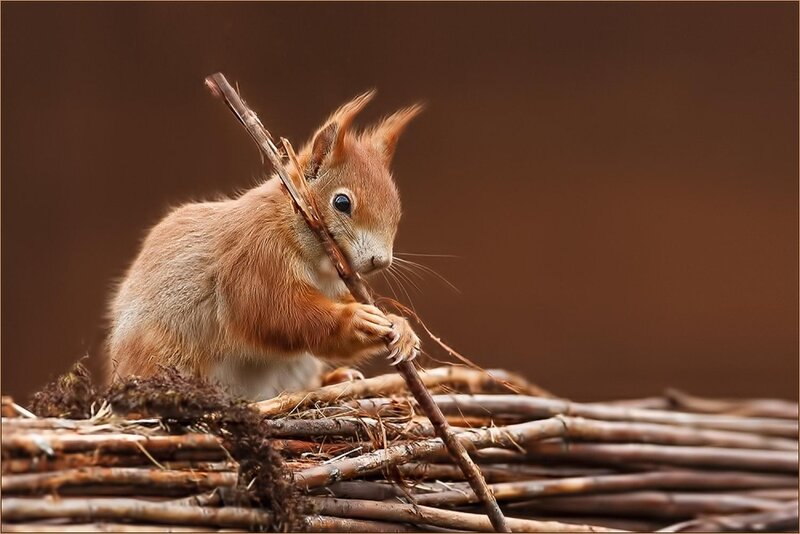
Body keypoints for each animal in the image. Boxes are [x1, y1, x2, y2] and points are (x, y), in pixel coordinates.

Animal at [106, 91, 422, 400]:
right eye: (342, 202)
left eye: (396, 209)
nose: (380, 260)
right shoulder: (256, 257)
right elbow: (275, 312)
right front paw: (355, 320)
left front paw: (400, 326)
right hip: (165, 353)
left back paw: (337, 378)